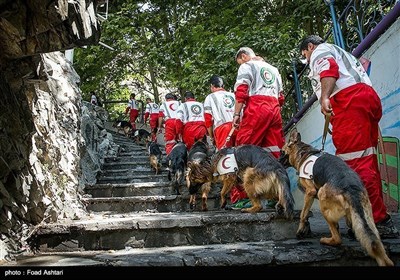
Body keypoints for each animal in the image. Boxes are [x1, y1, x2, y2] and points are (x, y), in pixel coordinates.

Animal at [282, 128, 394, 266]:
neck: (303, 152)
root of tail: (351, 188)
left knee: (337, 239)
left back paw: (327, 240)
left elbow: (303, 214)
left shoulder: (310, 192)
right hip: (367, 218)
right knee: (372, 239)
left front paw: (300, 231)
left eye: (281, 152)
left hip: (322, 198)